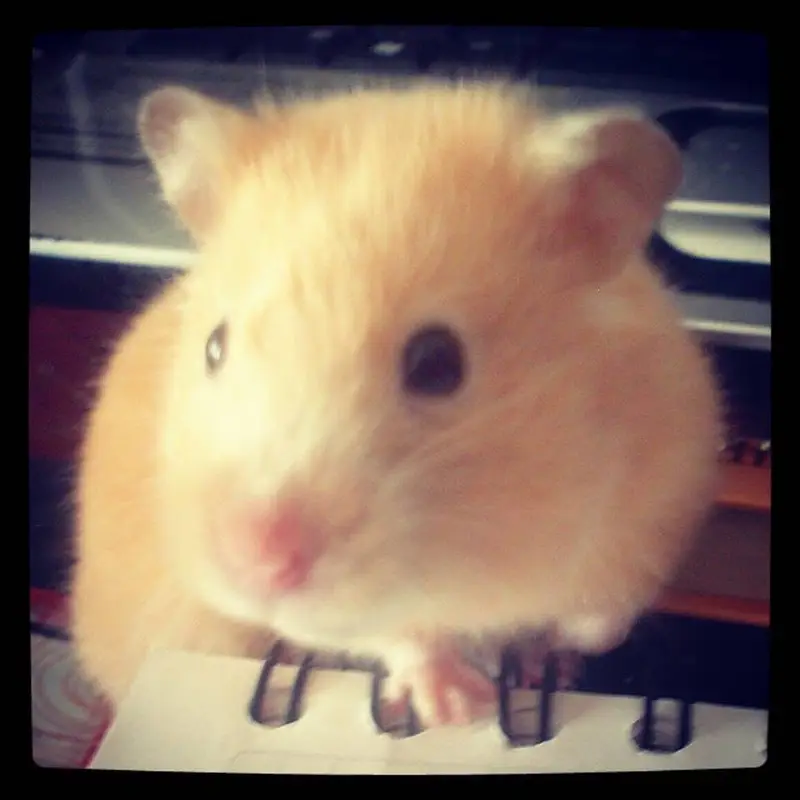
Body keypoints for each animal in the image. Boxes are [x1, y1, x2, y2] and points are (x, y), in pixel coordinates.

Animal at [69, 80, 722, 727]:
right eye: (213, 346)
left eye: (438, 363)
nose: (254, 564)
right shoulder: (348, 616)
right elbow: (405, 635)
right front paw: (458, 710)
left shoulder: (659, 498)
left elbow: (601, 616)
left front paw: (543, 661)